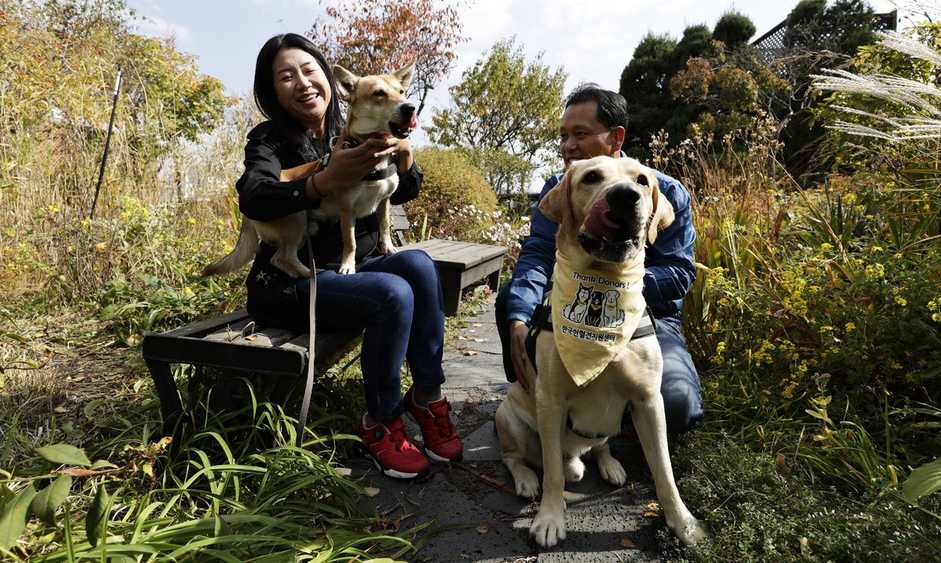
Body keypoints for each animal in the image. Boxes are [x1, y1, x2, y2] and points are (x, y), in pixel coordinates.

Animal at [206, 62, 414, 278]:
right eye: (378, 93)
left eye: (401, 91)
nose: (410, 108)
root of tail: (243, 209)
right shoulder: (347, 211)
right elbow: (351, 243)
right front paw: (347, 265)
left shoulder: (384, 202)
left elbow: (385, 227)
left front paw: (389, 248)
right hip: (296, 220)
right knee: (282, 257)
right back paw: (312, 273)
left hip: (306, 229)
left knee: (280, 258)